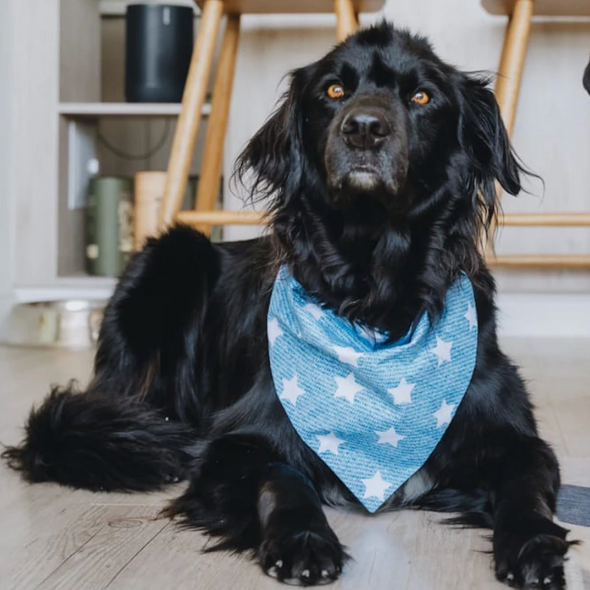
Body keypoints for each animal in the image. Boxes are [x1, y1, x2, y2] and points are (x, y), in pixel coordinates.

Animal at [4, 23, 576, 590]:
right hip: (171, 254)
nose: (364, 129)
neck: (374, 305)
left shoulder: (517, 438)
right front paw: (302, 539)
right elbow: (282, 478)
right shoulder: (236, 443)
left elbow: (527, 489)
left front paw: (533, 546)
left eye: (421, 96)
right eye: (334, 90)